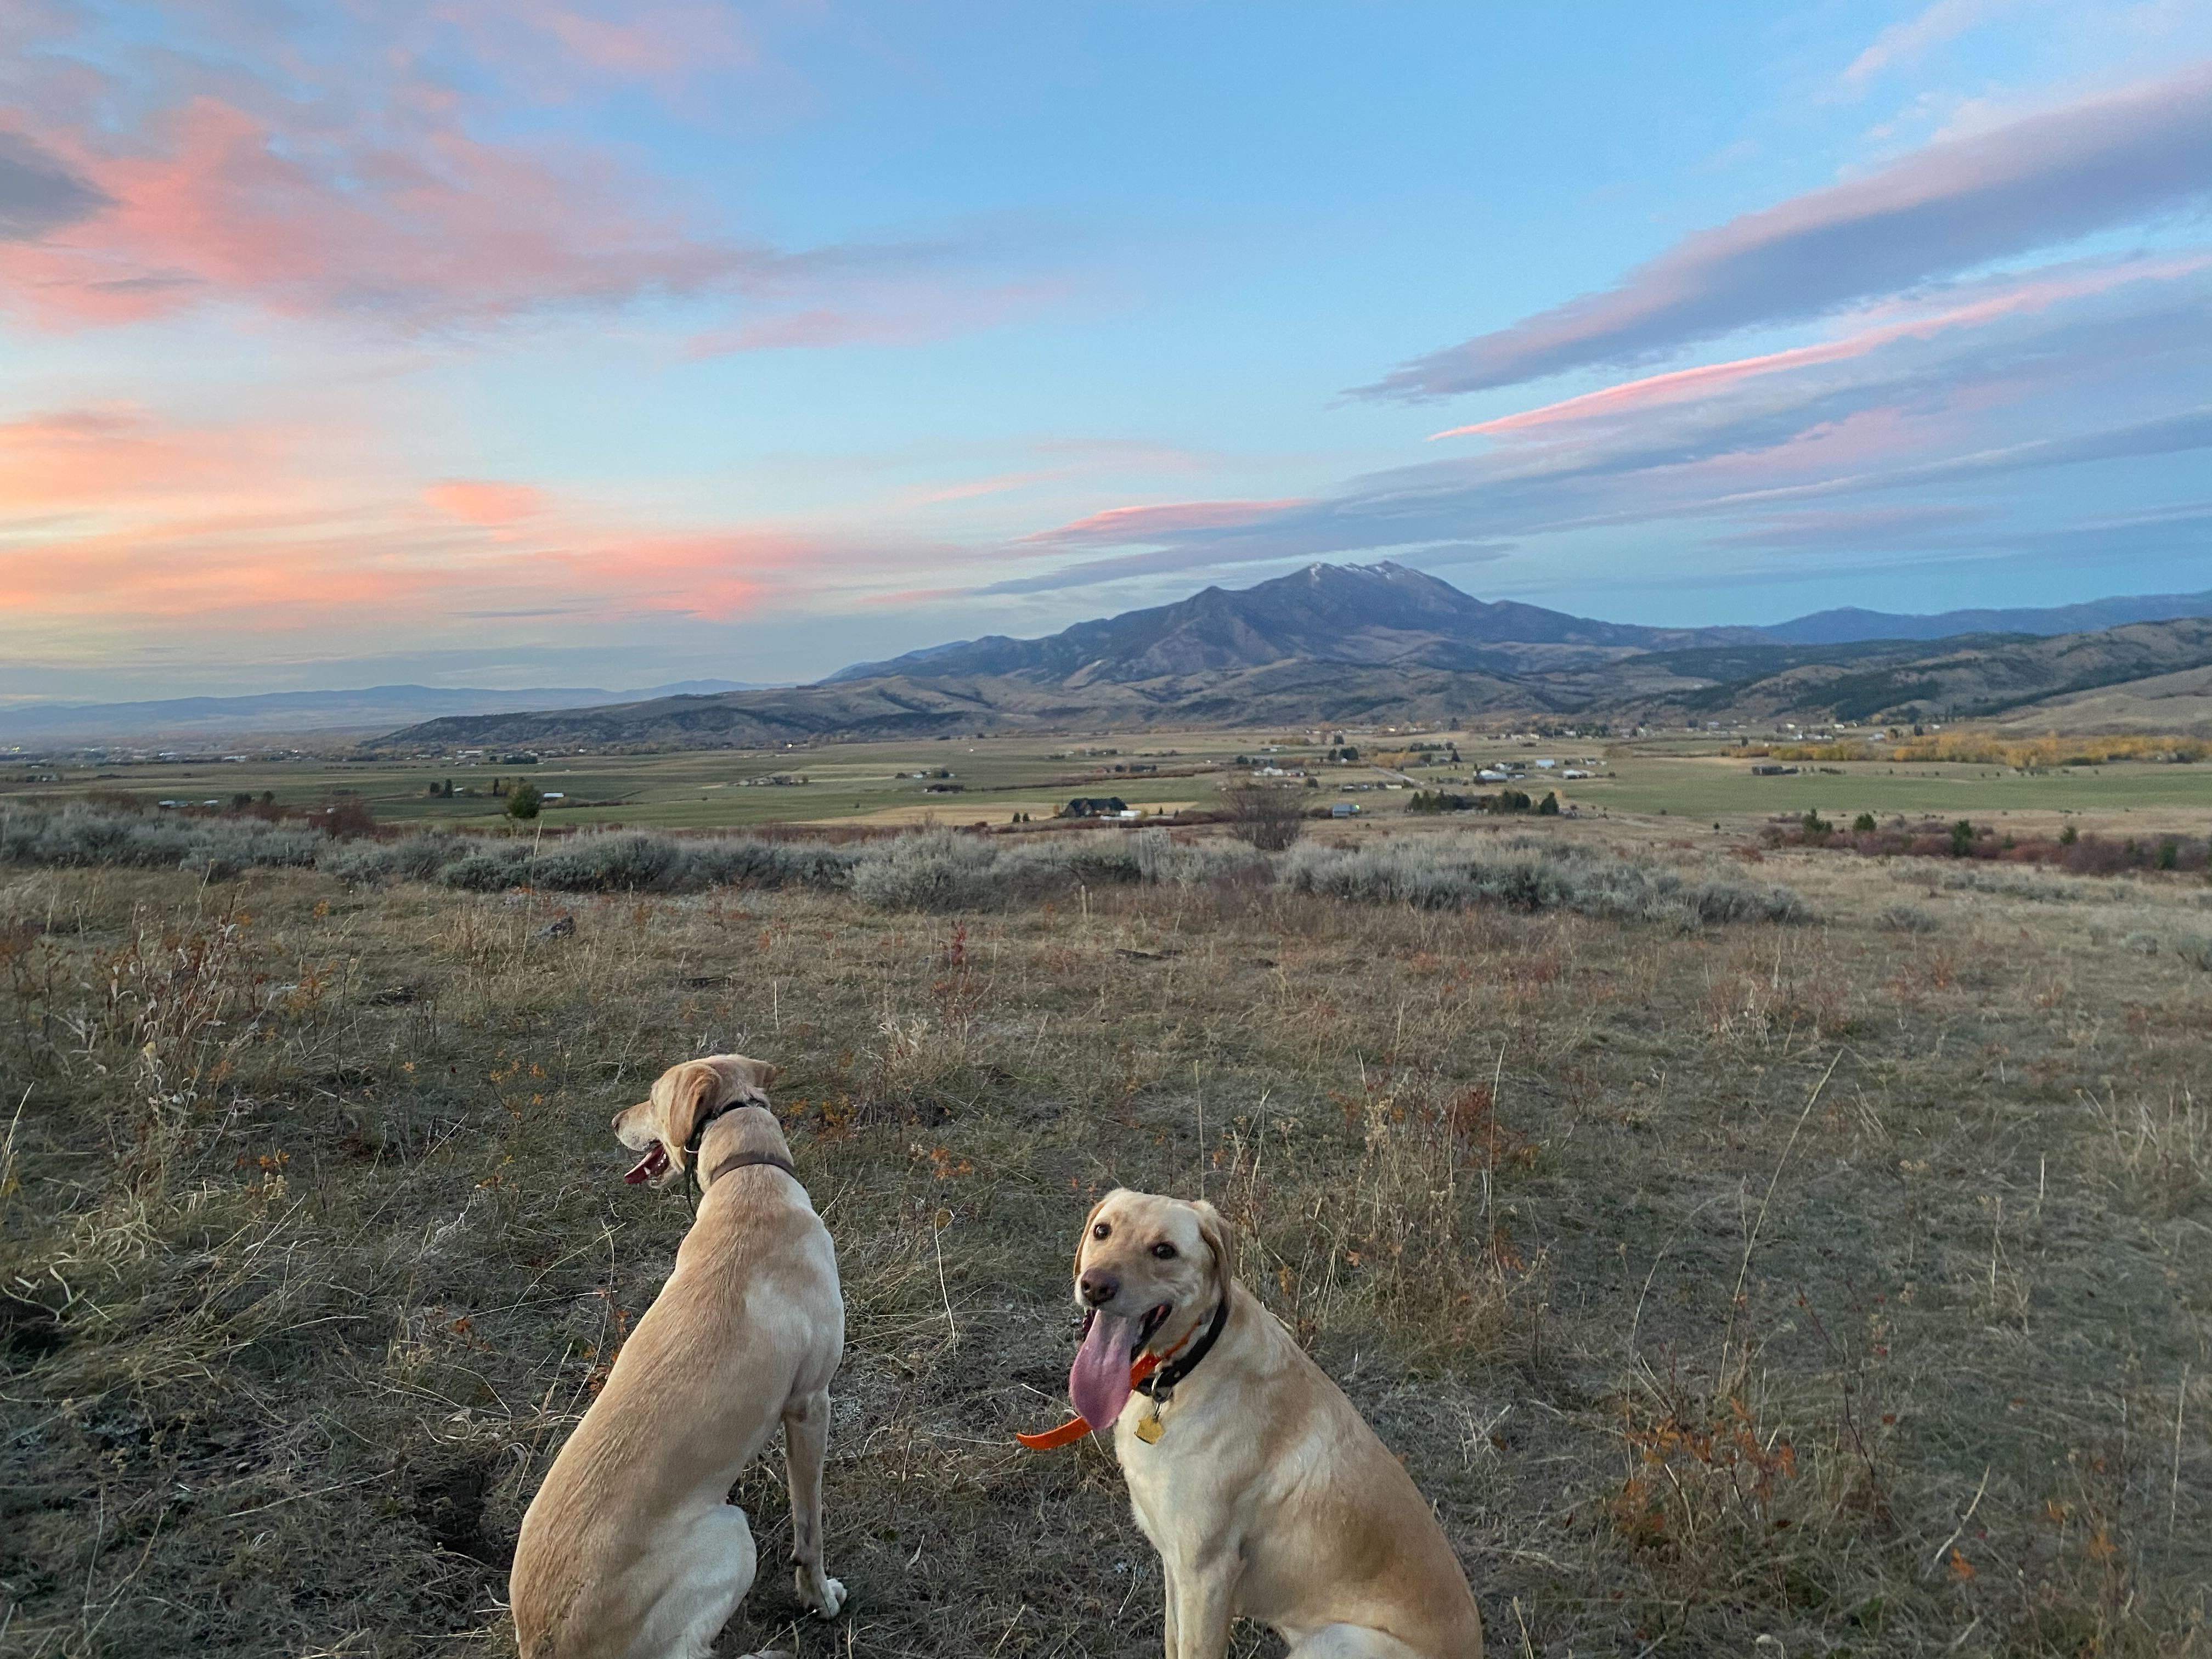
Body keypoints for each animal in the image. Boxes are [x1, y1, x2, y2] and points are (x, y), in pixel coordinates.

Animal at [509, 1057, 845, 1654]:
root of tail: (541, 1643)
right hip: (732, 1533)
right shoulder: (811, 1404)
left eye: (651, 1096)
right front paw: (820, 1598)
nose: (615, 1120)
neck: (747, 1176)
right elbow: (811, 1531)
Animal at [1066, 1194, 1486, 1659]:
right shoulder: (1176, 1565)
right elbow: (1172, 1642)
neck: (1189, 1364)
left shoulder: (1207, 1574)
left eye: (1164, 1251)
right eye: (1102, 1231)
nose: (1095, 1286)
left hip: (1335, 1640)